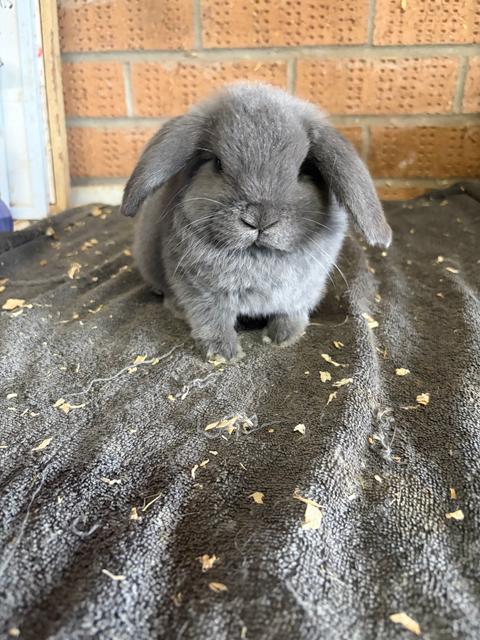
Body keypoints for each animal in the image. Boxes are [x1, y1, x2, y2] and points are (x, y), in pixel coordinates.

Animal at [121, 82, 392, 361]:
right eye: (218, 163)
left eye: (304, 170)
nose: (260, 219)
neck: (259, 255)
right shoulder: (199, 292)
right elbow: (212, 321)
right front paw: (223, 353)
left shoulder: (303, 291)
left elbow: (291, 313)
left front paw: (282, 338)